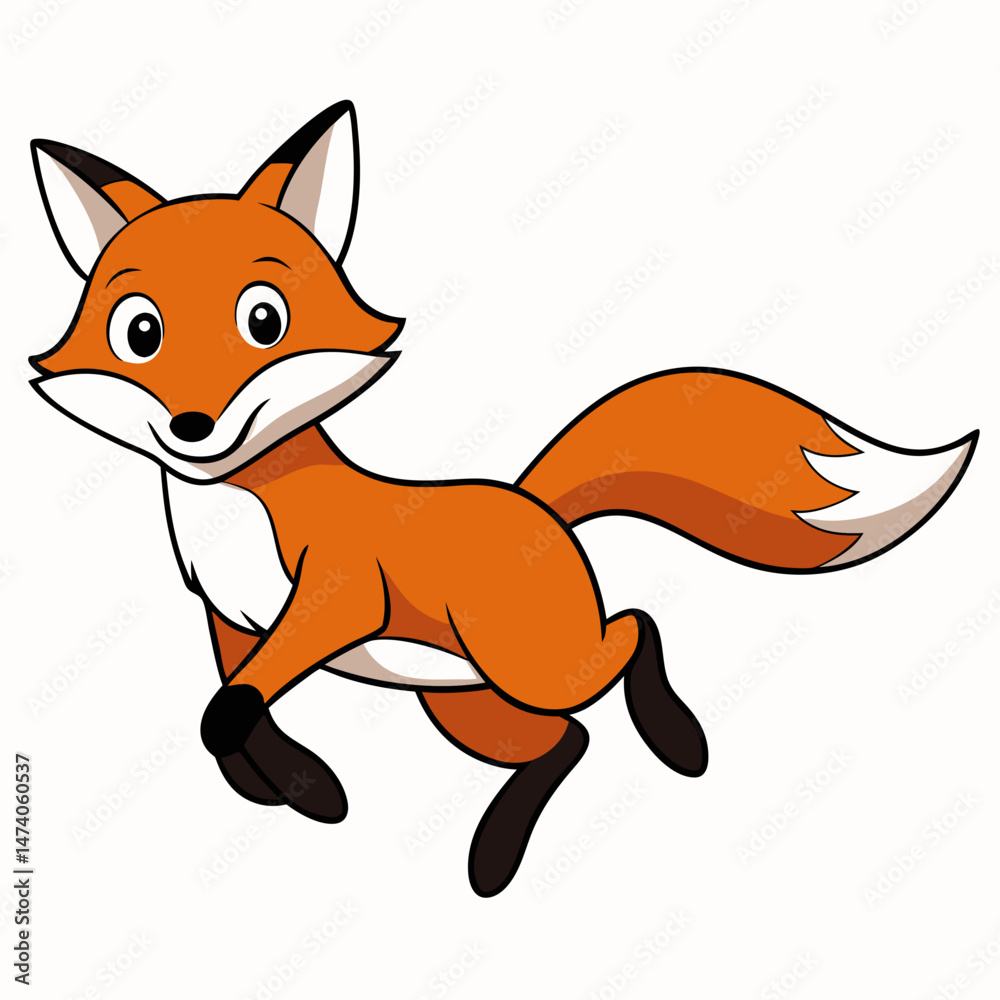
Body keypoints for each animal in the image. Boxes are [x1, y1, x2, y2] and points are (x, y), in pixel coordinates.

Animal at [29, 100, 977, 896]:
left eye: (264, 321)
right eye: (139, 333)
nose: (193, 425)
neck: (239, 512)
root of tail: (537, 507)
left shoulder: (338, 598)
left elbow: (228, 713)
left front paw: (305, 788)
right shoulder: (232, 625)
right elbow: (225, 716)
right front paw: (303, 791)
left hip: (524, 665)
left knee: (632, 634)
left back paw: (670, 741)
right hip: (465, 702)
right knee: (567, 739)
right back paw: (496, 856)